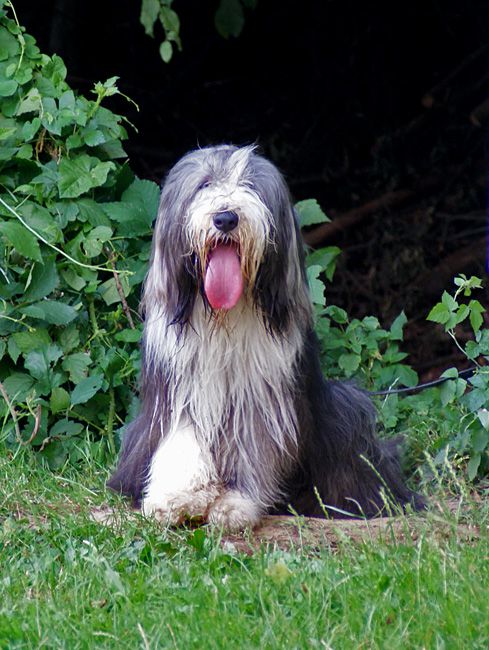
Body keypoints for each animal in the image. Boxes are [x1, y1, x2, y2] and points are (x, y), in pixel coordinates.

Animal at [107, 144, 424, 528]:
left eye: (250, 185)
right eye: (205, 184)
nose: (225, 217)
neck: (224, 317)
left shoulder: (262, 399)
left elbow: (254, 449)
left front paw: (233, 504)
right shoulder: (181, 389)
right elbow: (183, 442)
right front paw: (173, 499)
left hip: (348, 407)